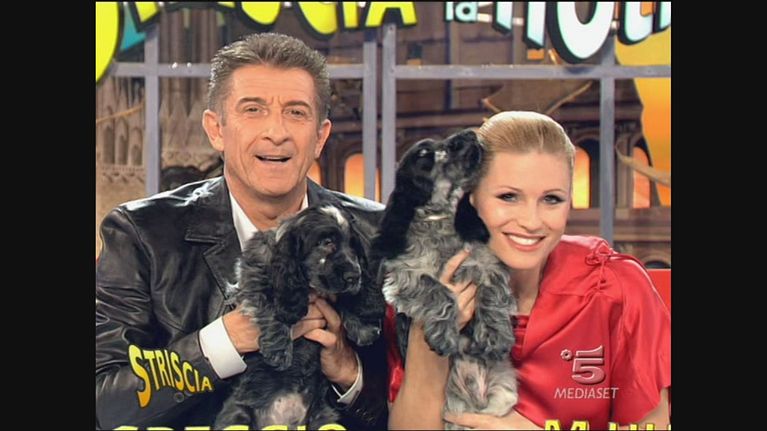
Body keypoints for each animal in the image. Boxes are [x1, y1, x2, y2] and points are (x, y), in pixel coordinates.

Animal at [214, 204, 386, 430]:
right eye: (327, 243)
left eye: (353, 246)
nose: (354, 276)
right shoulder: (253, 278)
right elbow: (270, 304)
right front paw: (278, 350)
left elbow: (343, 298)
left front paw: (364, 328)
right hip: (236, 416)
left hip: (323, 418)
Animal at [374, 129, 518, 429]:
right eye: (424, 154)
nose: (470, 133)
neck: (439, 223)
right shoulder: (404, 277)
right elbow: (439, 292)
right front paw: (444, 335)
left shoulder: (486, 263)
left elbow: (492, 295)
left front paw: (495, 335)